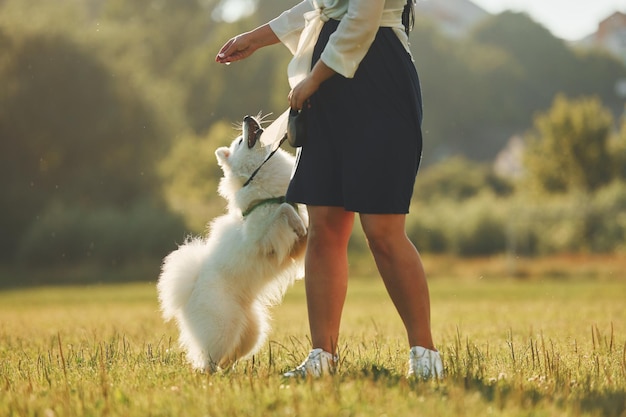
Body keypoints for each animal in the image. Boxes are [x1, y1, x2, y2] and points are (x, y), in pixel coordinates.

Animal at [156, 114, 308, 370]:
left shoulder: (293, 246)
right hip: (223, 328)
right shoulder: (262, 239)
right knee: (208, 361)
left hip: (251, 333)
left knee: (230, 358)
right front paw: (297, 224)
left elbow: (294, 213)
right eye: (239, 141)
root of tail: (190, 291)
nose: (248, 117)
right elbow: (285, 209)